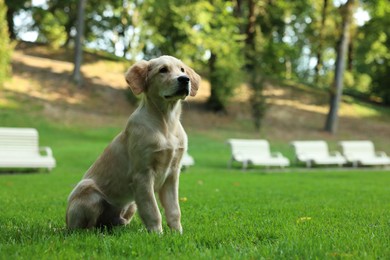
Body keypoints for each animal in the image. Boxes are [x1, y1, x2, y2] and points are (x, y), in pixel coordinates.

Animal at [66, 55, 200, 233]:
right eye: (163, 70)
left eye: (182, 69)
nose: (185, 79)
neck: (166, 123)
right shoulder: (143, 175)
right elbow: (152, 210)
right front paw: (157, 235)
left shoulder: (172, 174)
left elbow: (174, 210)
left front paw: (177, 234)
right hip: (88, 190)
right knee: (84, 228)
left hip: (131, 205)